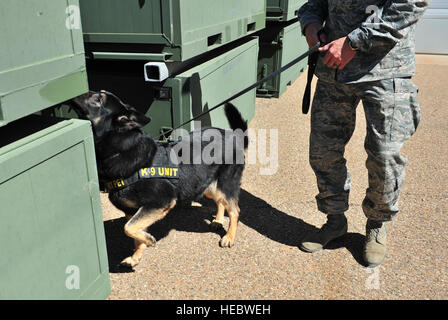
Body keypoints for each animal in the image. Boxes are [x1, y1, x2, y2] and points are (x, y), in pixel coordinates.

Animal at [72, 90, 250, 268]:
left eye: (98, 99)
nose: (75, 96)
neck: (121, 149)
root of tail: (233, 135)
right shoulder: (133, 211)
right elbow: (134, 234)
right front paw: (136, 256)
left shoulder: (160, 202)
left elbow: (127, 228)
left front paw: (149, 241)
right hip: (207, 186)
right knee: (220, 202)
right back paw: (218, 221)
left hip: (225, 184)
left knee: (235, 210)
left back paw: (229, 236)